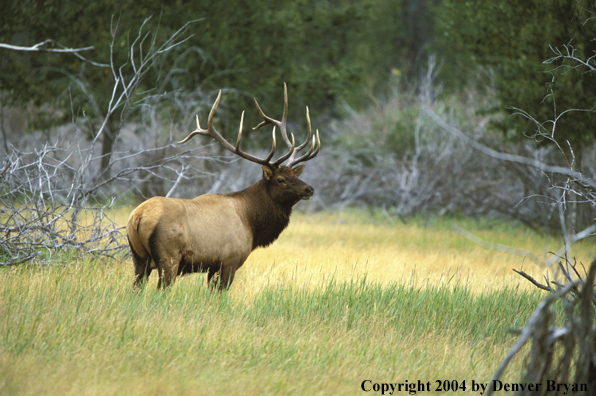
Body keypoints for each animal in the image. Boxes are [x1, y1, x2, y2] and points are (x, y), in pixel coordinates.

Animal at [126, 83, 322, 290]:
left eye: (295, 175)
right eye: (281, 179)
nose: (309, 189)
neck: (251, 223)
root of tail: (137, 216)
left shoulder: (212, 266)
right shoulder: (229, 260)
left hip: (139, 259)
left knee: (136, 288)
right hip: (168, 258)